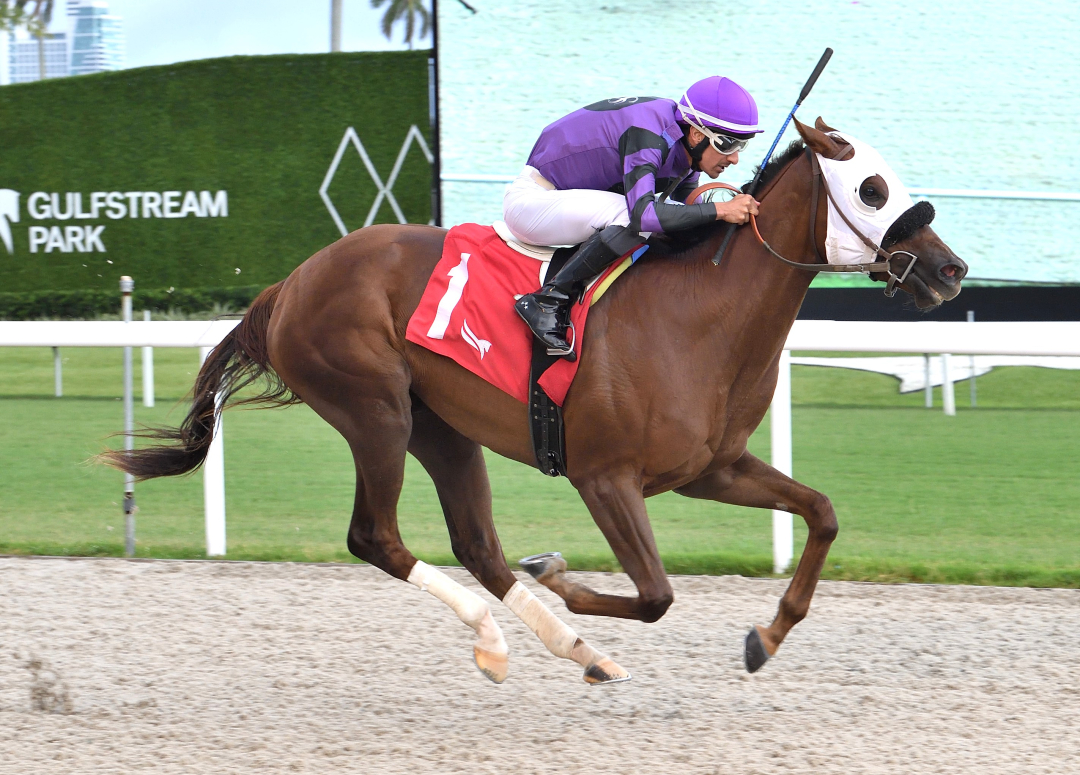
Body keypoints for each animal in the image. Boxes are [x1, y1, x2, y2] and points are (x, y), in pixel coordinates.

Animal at [107, 119, 972, 686]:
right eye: (871, 187)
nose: (950, 268)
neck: (699, 314)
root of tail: (290, 283)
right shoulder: (605, 476)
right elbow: (655, 595)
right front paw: (559, 573)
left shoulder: (711, 469)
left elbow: (821, 512)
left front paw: (768, 632)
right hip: (375, 410)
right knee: (376, 536)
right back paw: (500, 638)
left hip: (441, 426)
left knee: (478, 545)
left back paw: (570, 648)